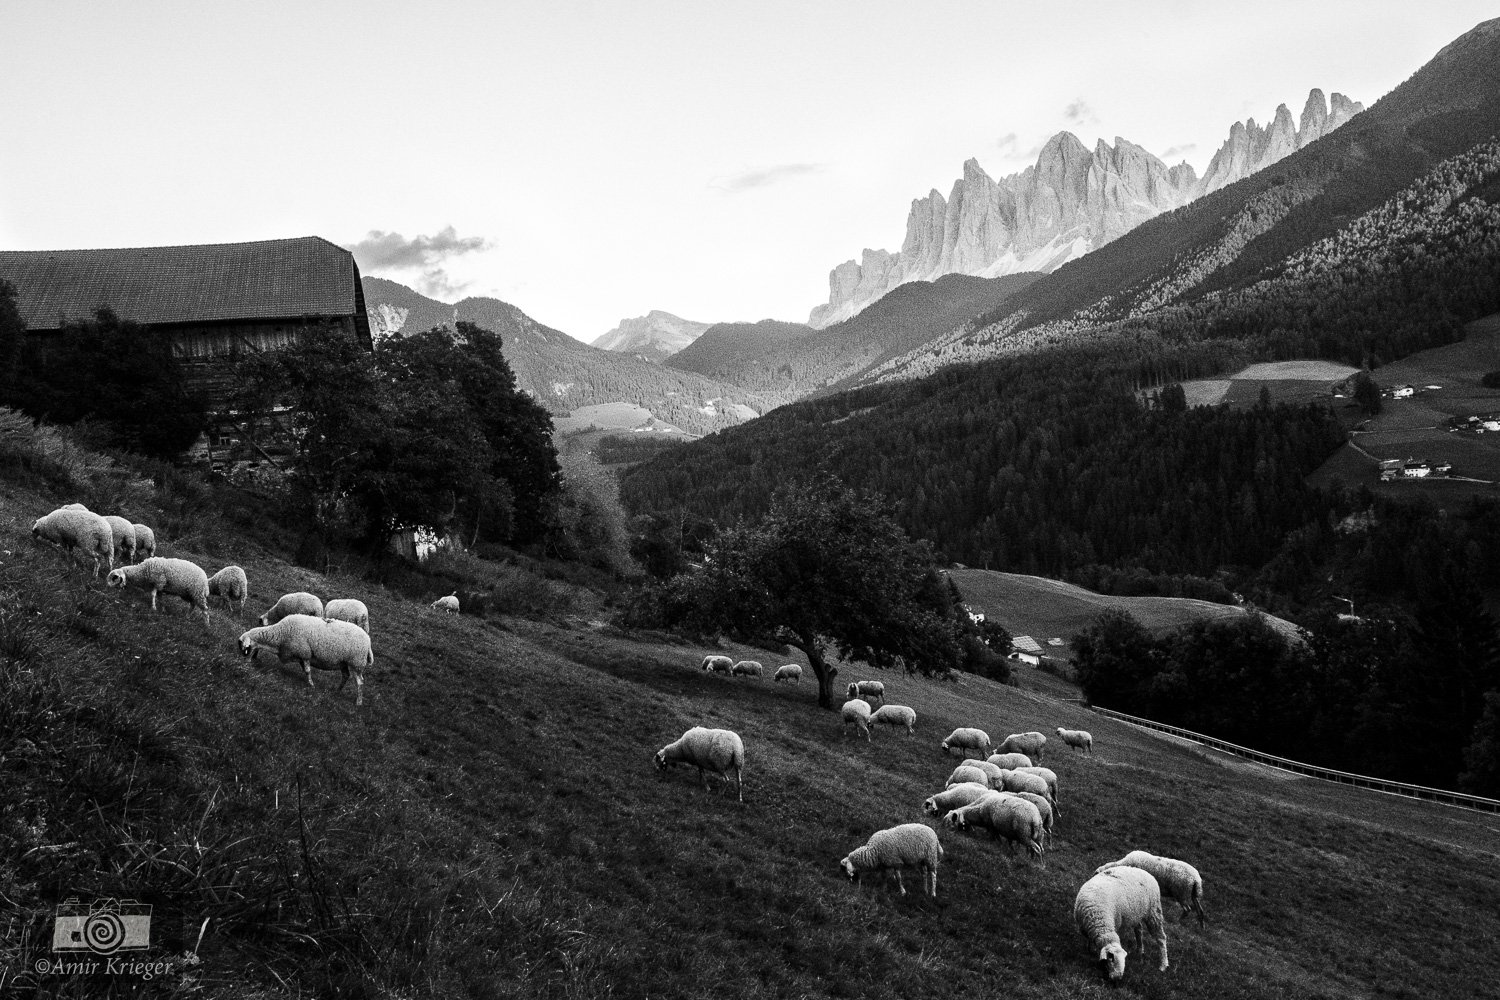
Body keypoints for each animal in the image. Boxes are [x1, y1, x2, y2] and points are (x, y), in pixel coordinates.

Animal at [238, 614, 373, 707]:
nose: (244, 664)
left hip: (356, 662)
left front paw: (311, 685)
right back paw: (337, 691)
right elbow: (305, 670)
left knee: (360, 682)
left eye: (245, 648)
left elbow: (308, 671)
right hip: (343, 662)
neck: (280, 637)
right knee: (345, 675)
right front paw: (308, 682)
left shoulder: (305, 653)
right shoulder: (302, 656)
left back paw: (358, 702)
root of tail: (368, 641)